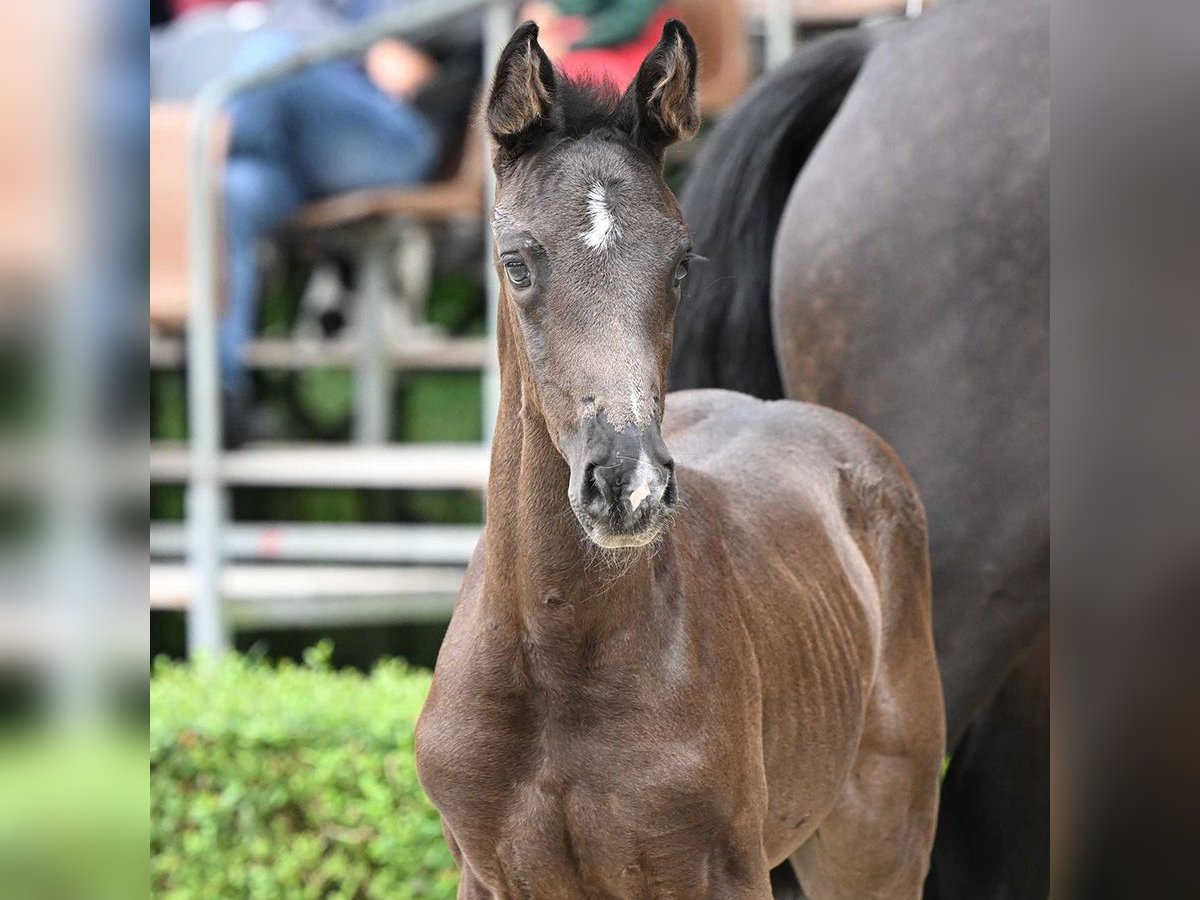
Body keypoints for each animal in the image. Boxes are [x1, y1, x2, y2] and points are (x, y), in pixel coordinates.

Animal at [420, 21, 945, 900]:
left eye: (680, 262)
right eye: (519, 261)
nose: (626, 485)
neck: (554, 656)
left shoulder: (719, 871)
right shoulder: (486, 874)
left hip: (877, 834)